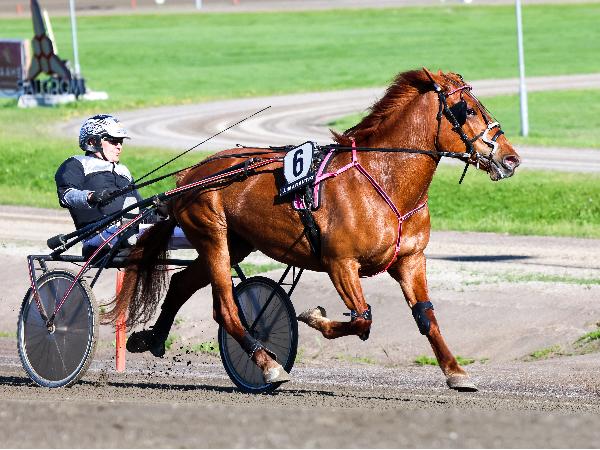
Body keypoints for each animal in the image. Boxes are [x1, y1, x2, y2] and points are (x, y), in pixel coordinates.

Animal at [106, 68, 521, 391]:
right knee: (225, 308)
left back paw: (152, 339)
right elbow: (363, 319)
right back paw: (267, 363)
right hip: (212, 236)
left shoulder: (410, 260)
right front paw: (313, 316)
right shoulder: (341, 263)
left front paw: (456, 372)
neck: (385, 183)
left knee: (181, 283)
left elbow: (427, 317)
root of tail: (190, 174)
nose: (511, 158)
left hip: (237, 242)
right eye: (468, 109)